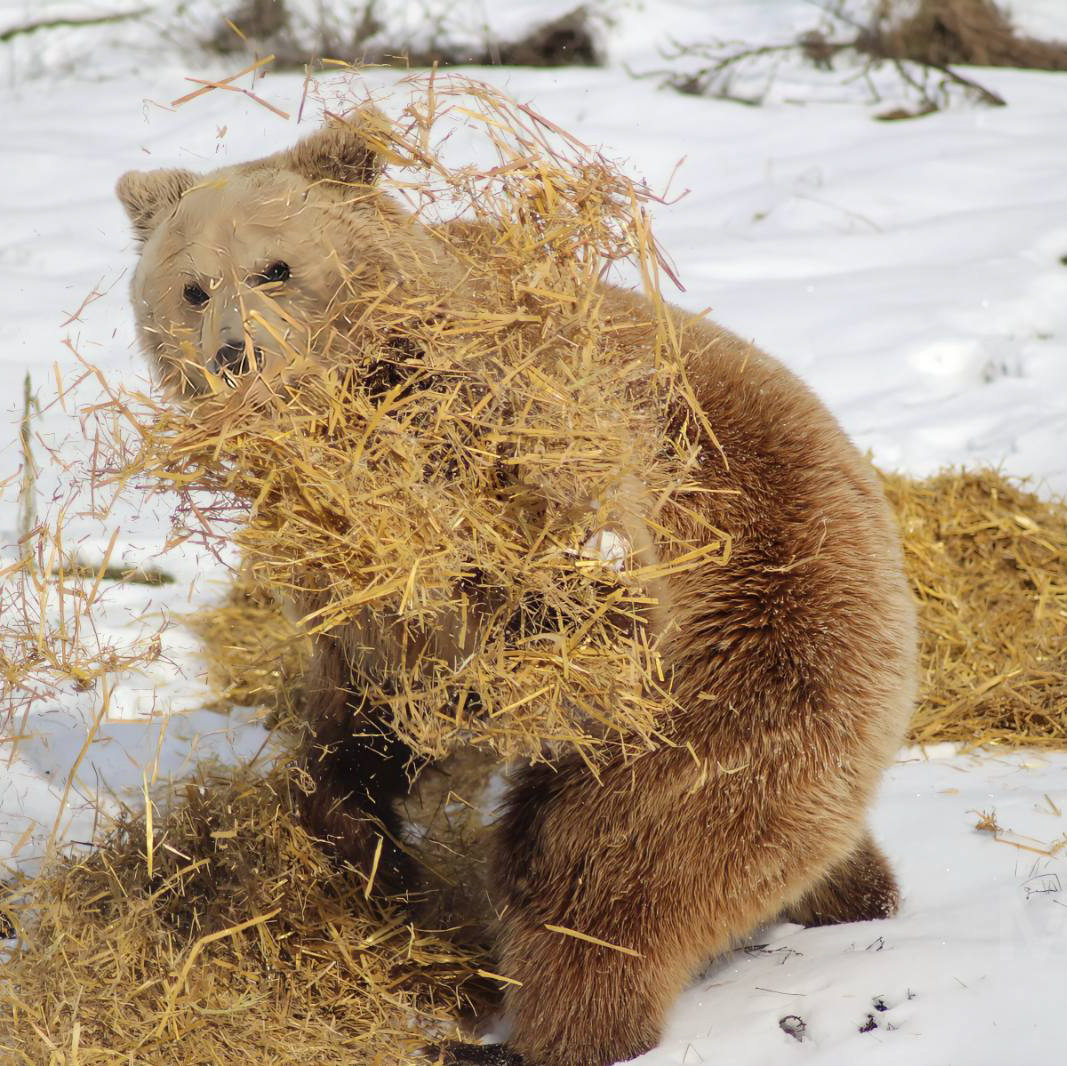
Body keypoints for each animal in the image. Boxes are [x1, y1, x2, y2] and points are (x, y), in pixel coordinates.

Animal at [116, 109, 918, 1066]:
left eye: (275, 266)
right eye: (193, 288)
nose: (237, 356)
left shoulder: (522, 441)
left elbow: (572, 613)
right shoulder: (341, 578)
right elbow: (352, 728)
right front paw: (366, 849)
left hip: (747, 666)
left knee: (603, 870)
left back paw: (535, 1029)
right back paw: (857, 891)